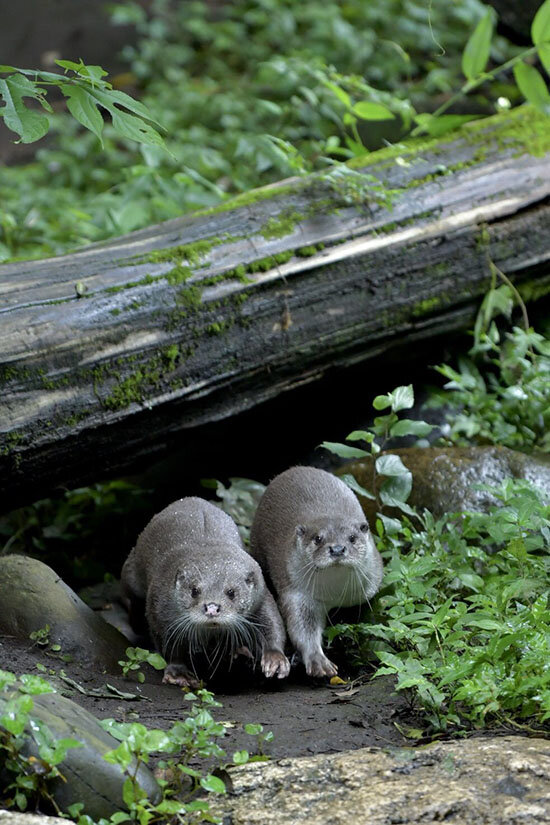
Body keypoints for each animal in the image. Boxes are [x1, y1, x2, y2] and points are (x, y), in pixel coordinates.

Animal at [121, 497, 290, 687]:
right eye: (194, 590)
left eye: (231, 592)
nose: (212, 608)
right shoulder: (160, 605)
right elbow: (167, 642)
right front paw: (178, 672)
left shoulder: (261, 594)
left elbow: (272, 621)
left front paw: (275, 658)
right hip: (132, 572)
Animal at [250, 466, 383, 678]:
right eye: (318, 538)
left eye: (352, 538)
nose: (337, 549)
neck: (334, 594)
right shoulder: (298, 595)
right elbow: (302, 628)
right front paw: (318, 661)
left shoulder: (366, 594)